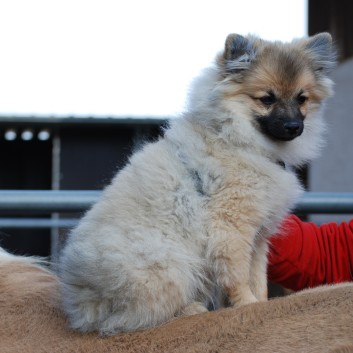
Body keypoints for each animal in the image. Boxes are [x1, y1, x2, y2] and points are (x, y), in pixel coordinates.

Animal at [58, 32, 336, 332]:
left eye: (301, 98)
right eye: (267, 99)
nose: (294, 127)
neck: (239, 139)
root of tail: (84, 303)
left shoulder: (259, 236)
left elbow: (257, 277)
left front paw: (261, 303)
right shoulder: (231, 228)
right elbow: (238, 277)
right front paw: (248, 305)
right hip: (170, 262)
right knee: (140, 315)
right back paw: (189, 310)